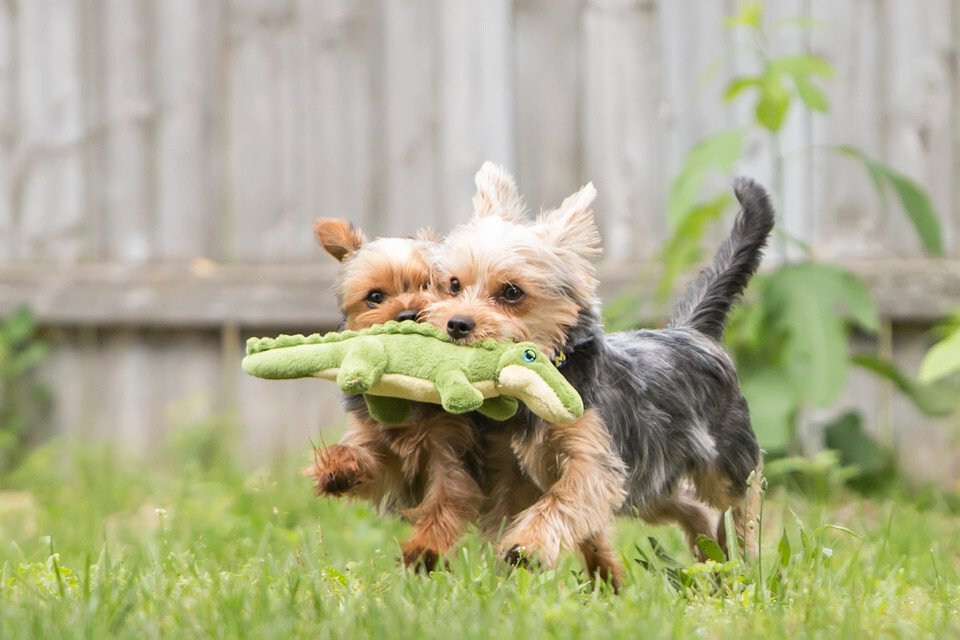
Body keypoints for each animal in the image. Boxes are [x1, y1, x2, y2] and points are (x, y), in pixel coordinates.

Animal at [310, 219, 484, 568]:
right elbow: (369, 461)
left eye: (430, 284)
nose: (406, 315)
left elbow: (446, 498)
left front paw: (423, 550)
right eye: (375, 296)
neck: (409, 392)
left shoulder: (451, 448)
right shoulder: (381, 446)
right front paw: (338, 467)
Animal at [422, 164, 772, 584]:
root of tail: (693, 332)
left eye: (512, 292)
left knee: (743, 494)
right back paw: (710, 559)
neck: (544, 381)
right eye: (453, 285)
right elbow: (558, 518)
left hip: (722, 457)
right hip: (647, 485)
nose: (457, 324)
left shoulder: (592, 461)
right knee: (692, 508)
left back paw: (744, 555)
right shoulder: (532, 468)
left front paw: (527, 546)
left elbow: (562, 500)